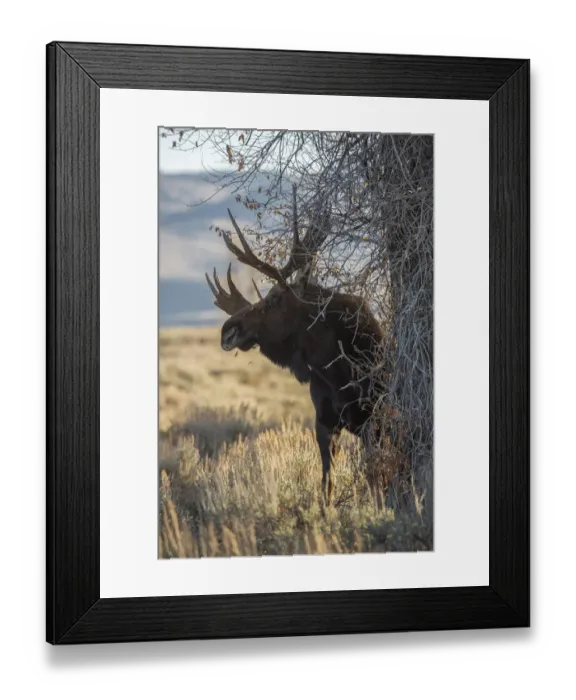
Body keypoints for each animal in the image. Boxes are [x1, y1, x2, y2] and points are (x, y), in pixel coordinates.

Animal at [205, 189, 386, 502]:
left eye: (275, 299)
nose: (227, 331)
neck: (333, 369)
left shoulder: (369, 421)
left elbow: (375, 480)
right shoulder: (324, 422)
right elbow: (326, 485)